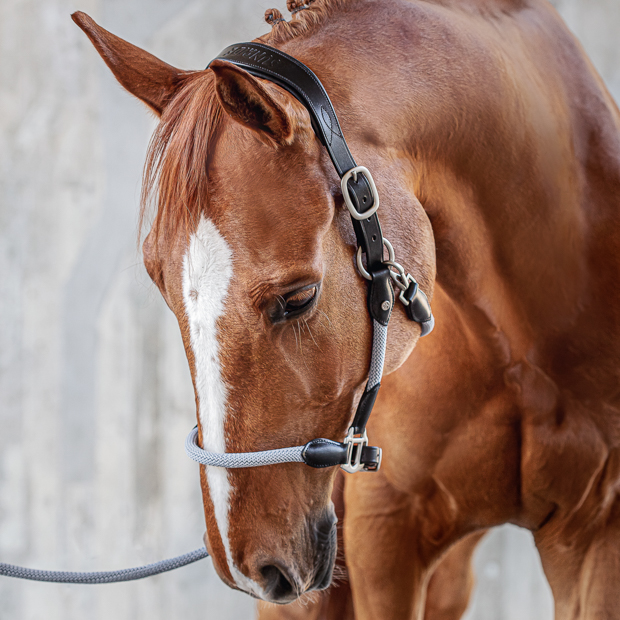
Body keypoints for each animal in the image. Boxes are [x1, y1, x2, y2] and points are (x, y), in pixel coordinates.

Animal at [74, 0, 620, 616]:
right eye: (162, 288)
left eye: (298, 299)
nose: (246, 564)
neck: (519, 342)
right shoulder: (386, 532)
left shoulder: (596, 534)